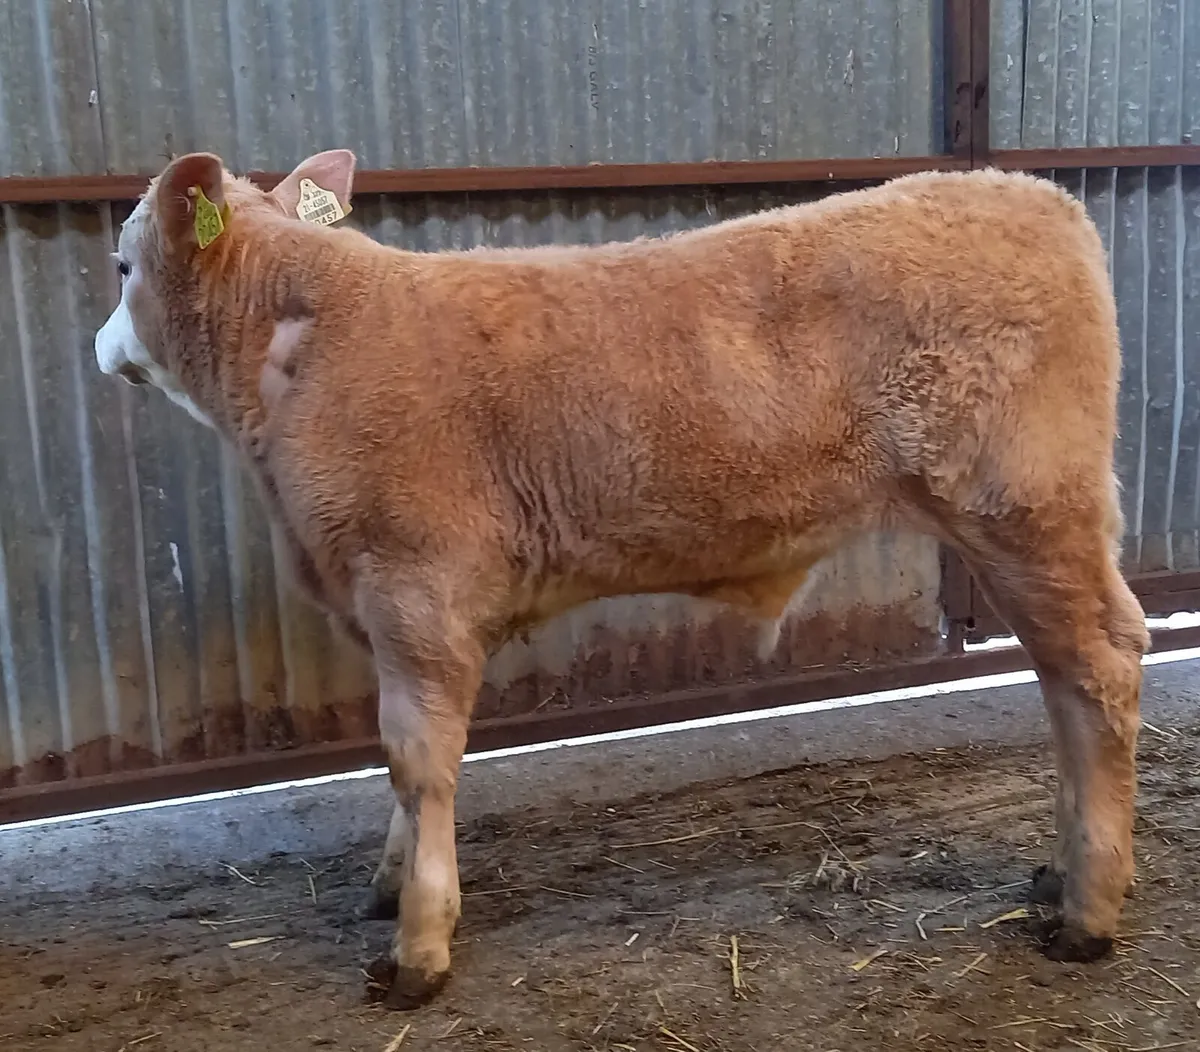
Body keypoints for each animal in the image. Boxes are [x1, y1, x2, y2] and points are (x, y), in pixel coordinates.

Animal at [94, 149, 1148, 1008]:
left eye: (121, 265)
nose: (103, 350)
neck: (310, 345)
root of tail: (1034, 196)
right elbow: (401, 769)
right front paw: (391, 888)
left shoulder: (415, 590)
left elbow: (417, 760)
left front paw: (419, 947)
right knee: (1070, 675)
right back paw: (1064, 876)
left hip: (1026, 506)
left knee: (1098, 668)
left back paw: (1088, 914)